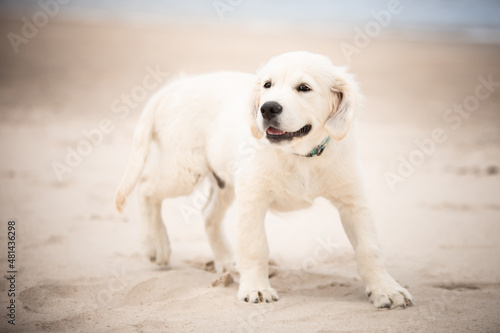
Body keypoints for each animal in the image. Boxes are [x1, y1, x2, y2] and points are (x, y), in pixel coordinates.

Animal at [116, 50, 414, 308]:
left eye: (304, 88)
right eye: (267, 85)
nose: (268, 108)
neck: (300, 155)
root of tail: (178, 85)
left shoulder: (354, 201)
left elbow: (369, 248)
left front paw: (386, 289)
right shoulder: (253, 197)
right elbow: (254, 246)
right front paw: (256, 289)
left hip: (224, 180)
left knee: (208, 214)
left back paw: (226, 261)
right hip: (185, 170)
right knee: (147, 187)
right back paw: (156, 245)